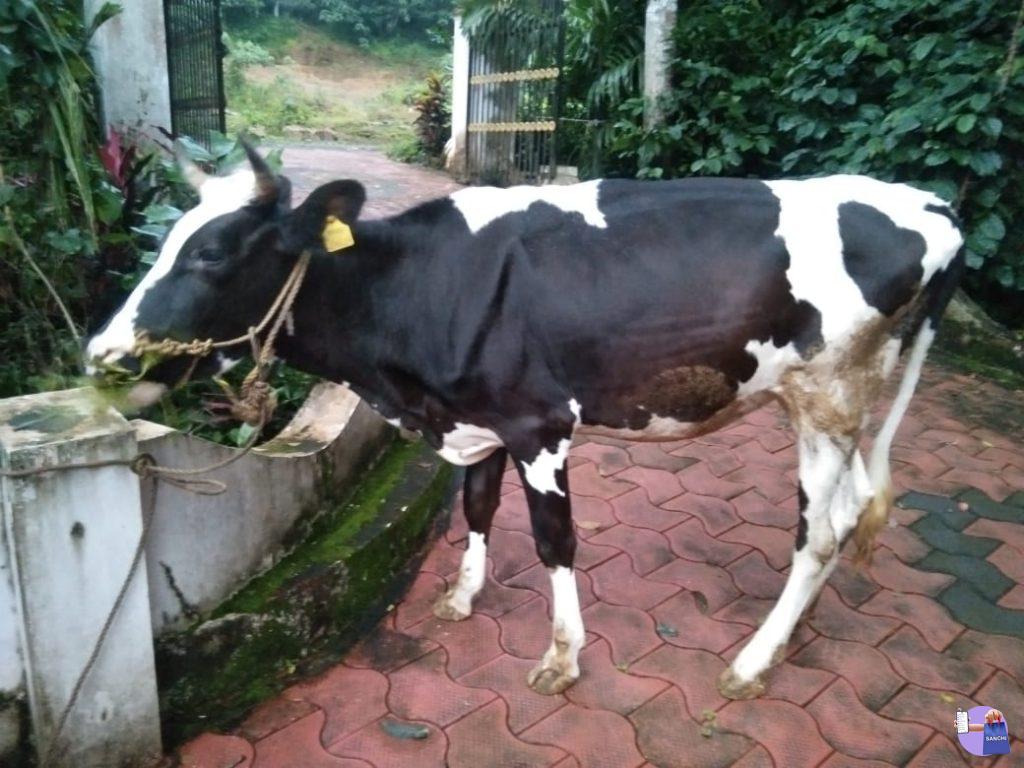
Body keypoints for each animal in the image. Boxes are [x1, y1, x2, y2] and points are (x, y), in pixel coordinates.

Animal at [86, 144, 964, 700]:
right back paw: (791, 630)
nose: (102, 354)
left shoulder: (537, 424)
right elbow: (477, 508)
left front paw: (562, 657)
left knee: (817, 534)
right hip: (833, 405)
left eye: (212, 252)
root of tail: (931, 203)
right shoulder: (474, 417)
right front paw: (462, 595)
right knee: (846, 516)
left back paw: (752, 663)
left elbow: (554, 541)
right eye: (165, 240)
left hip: (829, 395)